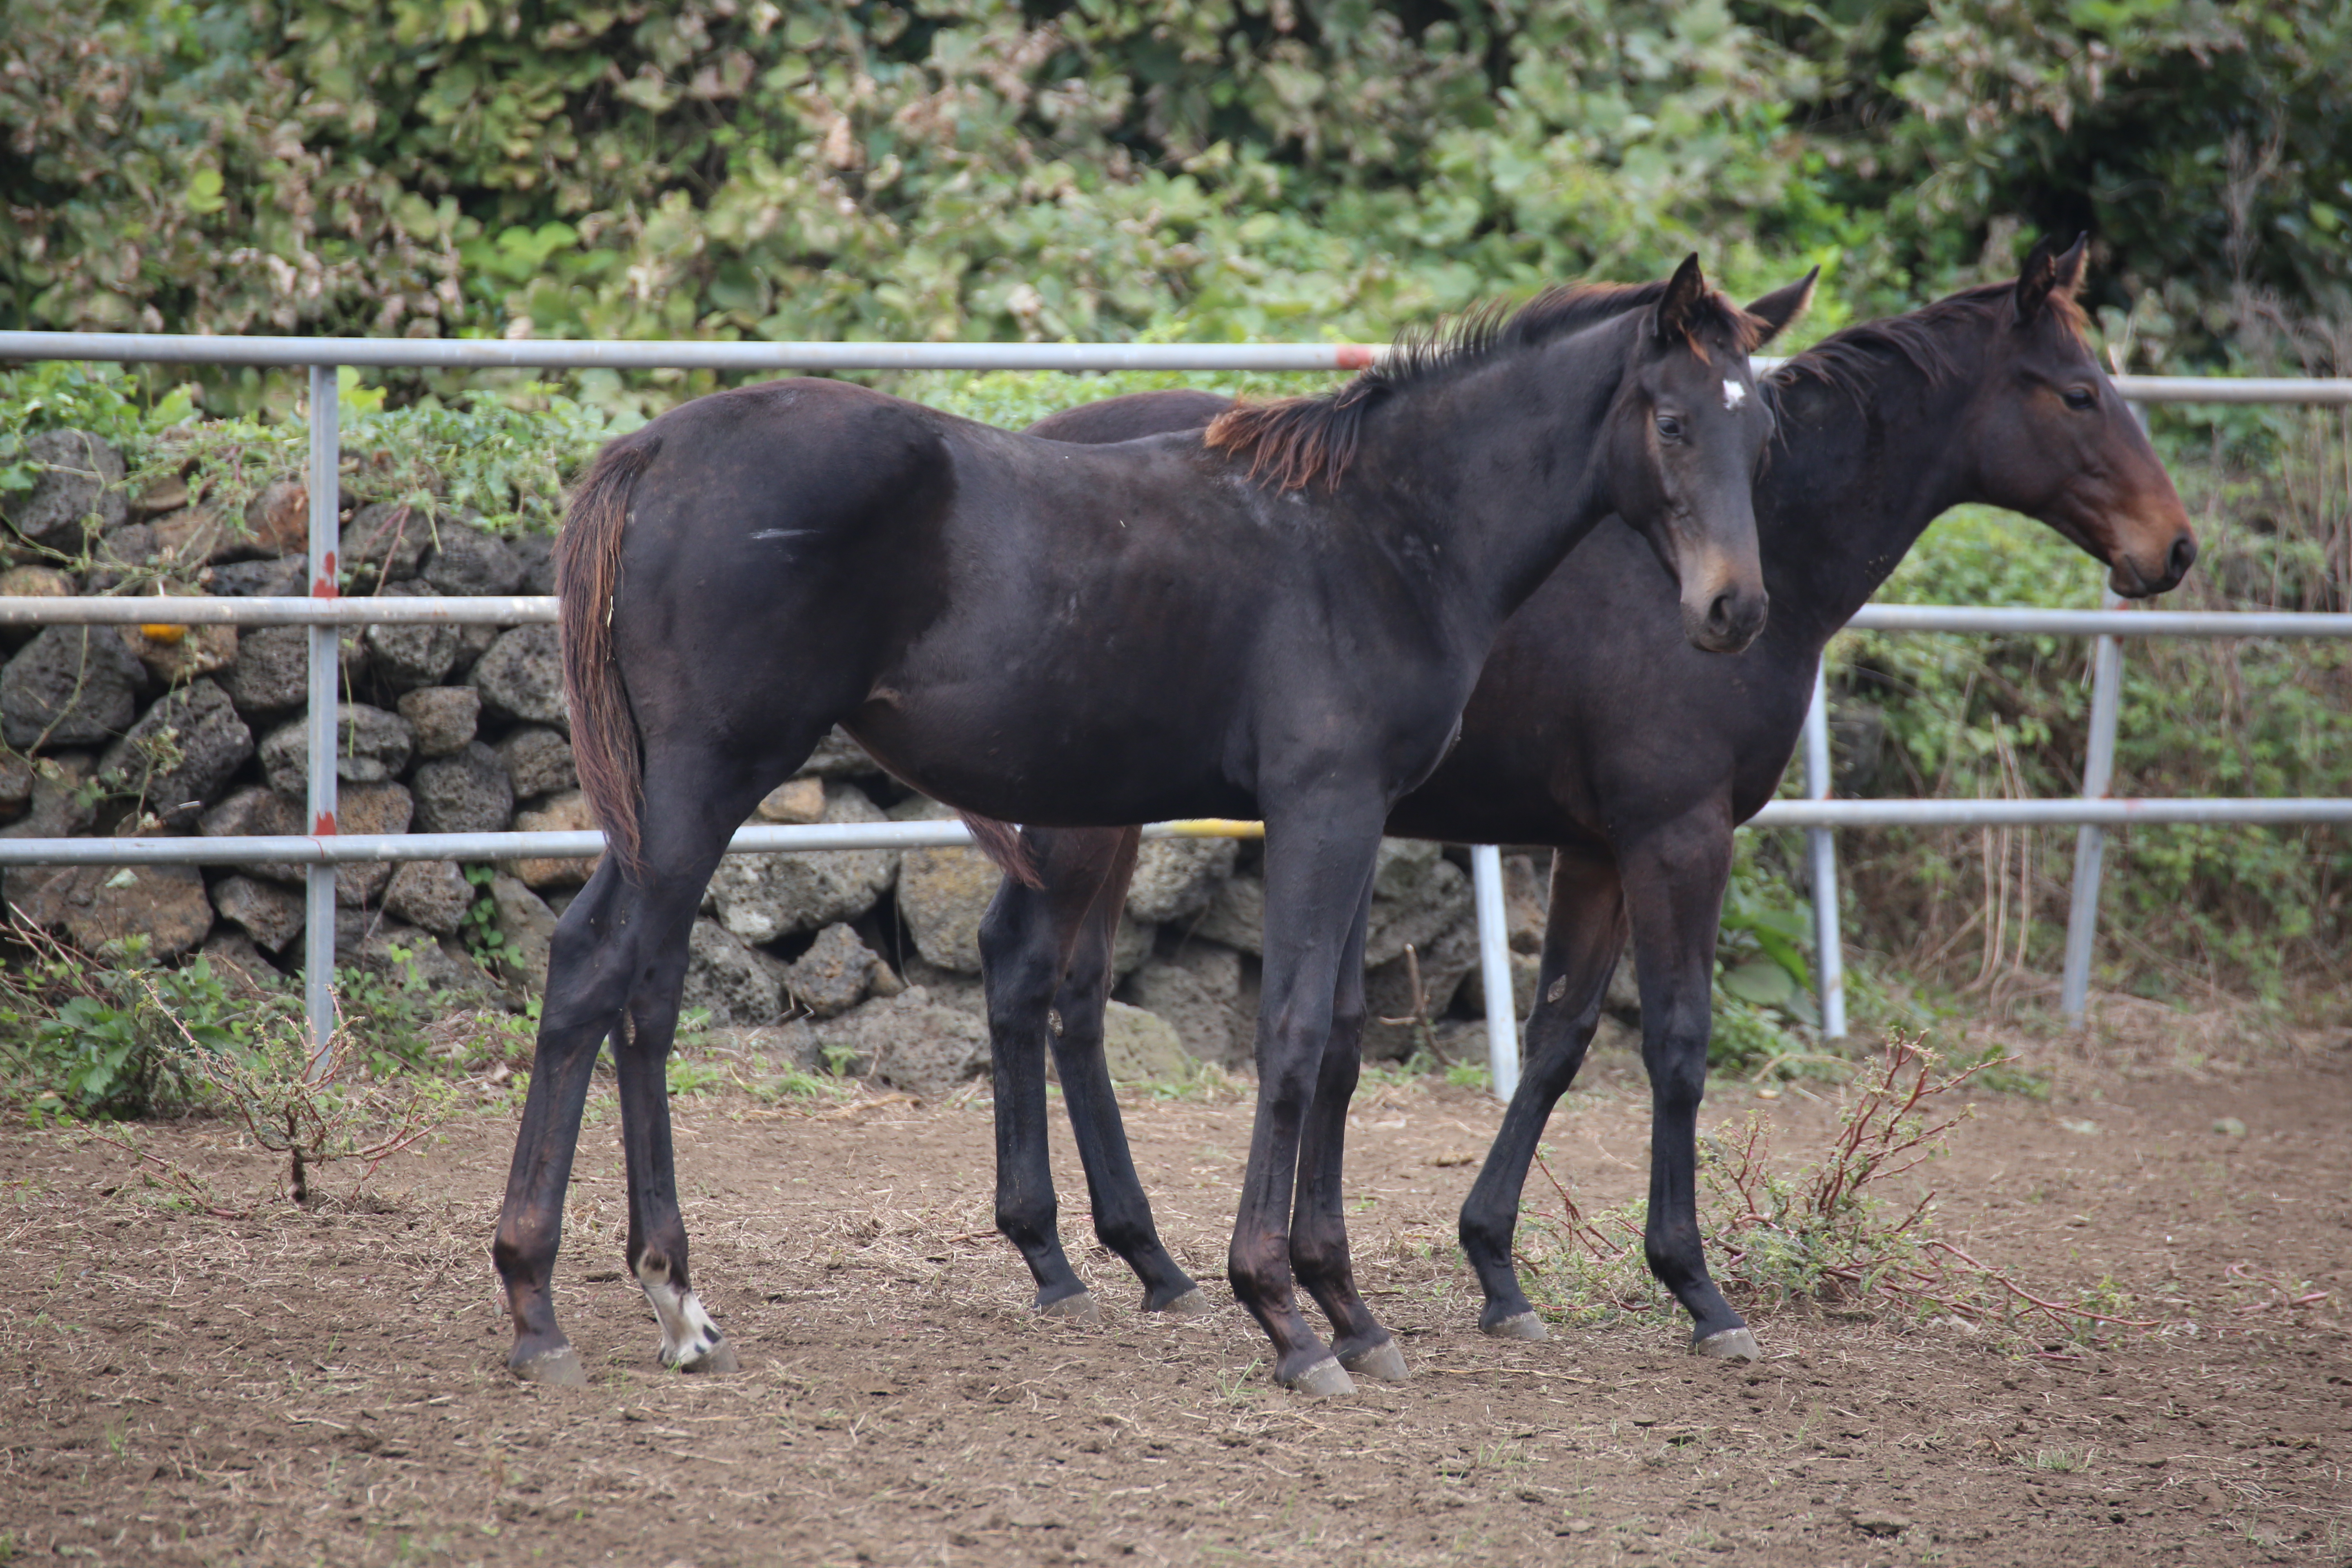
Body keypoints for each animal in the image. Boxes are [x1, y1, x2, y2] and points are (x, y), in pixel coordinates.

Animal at [496, 257, 1815, 1401]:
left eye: (1763, 435)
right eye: (1671, 419)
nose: (1732, 608)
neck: (1381, 529)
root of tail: (654, 448)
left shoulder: (1363, 811)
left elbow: (1337, 1035)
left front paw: (1348, 1308)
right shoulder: (1325, 801)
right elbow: (1292, 1034)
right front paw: (1282, 1312)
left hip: (673, 799)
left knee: (631, 983)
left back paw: (670, 1298)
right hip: (709, 779)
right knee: (605, 972)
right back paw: (543, 1305)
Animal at [964, 232, 2192, 1363]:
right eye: (2079, 394)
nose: (2172, 548)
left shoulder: (1597, 850)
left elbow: (1555, 1041)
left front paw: (1496, 1270)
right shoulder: (1676, 837)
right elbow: (1677, 1044)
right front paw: (1695, 1288)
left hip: (1113, 809)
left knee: (1075, 995)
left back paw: (1148, 1260)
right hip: (1083, 817)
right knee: (1026, 971)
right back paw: (1053, 1256)